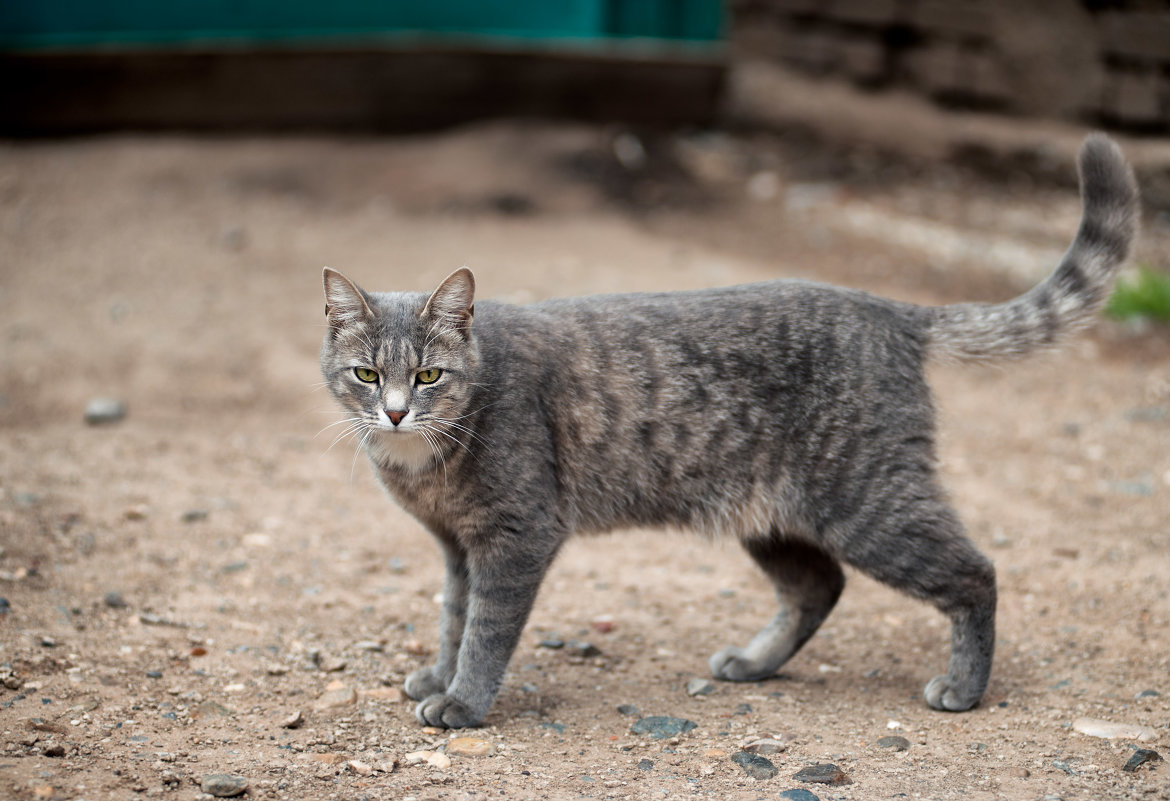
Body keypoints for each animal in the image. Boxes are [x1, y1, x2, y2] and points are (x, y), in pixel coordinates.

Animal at [318, 134, 1132, 729]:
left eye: (429, 375)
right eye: (367, 373)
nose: (396, 410)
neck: (424, 459)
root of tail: (888, 308)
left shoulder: (517, 536)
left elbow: (486, 628)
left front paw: (461, 700)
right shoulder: (459, 546)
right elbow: (453, 616)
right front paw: (438, 672)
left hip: (870, 504)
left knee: (974, 573)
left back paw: (964, 688)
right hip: (776, 518)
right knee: (820, 586)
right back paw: (754, 661)